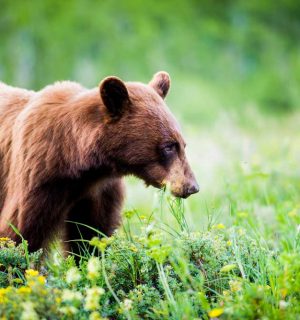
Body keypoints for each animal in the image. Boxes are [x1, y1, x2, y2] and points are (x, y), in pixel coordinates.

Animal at [0, 72, 199, 255]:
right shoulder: (38, 180)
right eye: (169, 146)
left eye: (183, 144)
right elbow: (19, 233)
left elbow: (91, 236)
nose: (192, 186)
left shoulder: (100, 191)